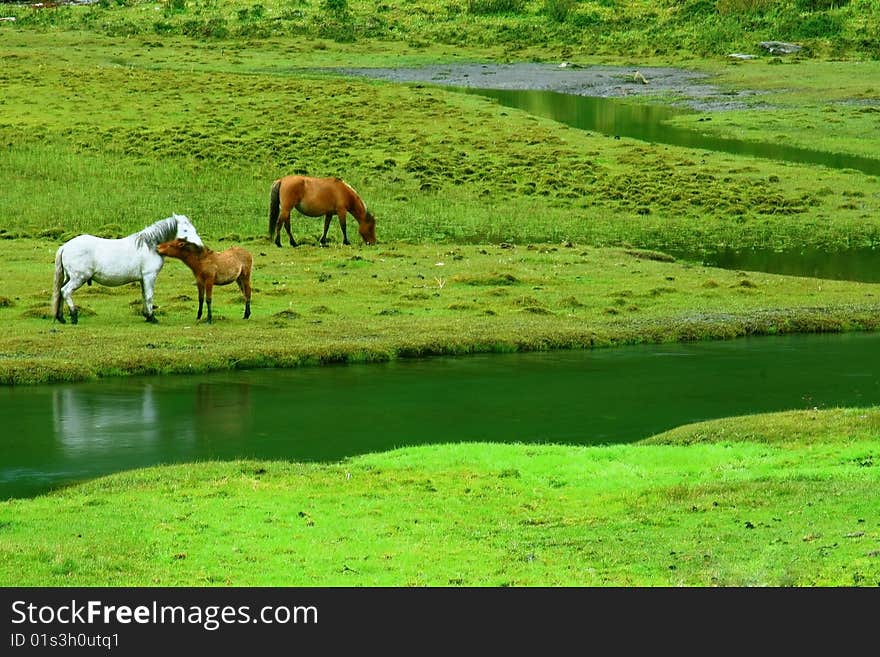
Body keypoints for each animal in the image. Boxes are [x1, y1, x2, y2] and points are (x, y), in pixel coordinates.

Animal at [51, 214, 203, 324]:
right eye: (185, 230)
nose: (200, 246)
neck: (150, 245)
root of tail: (65, 246)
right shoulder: (149, 277)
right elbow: (149, 296)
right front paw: (152, 317)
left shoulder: (143, 279)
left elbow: (144, 296)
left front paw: (147, 316)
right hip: (78, 278)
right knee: (65, 291)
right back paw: (73, 316)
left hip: (69, 277)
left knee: (60, 292)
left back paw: (61, 318)